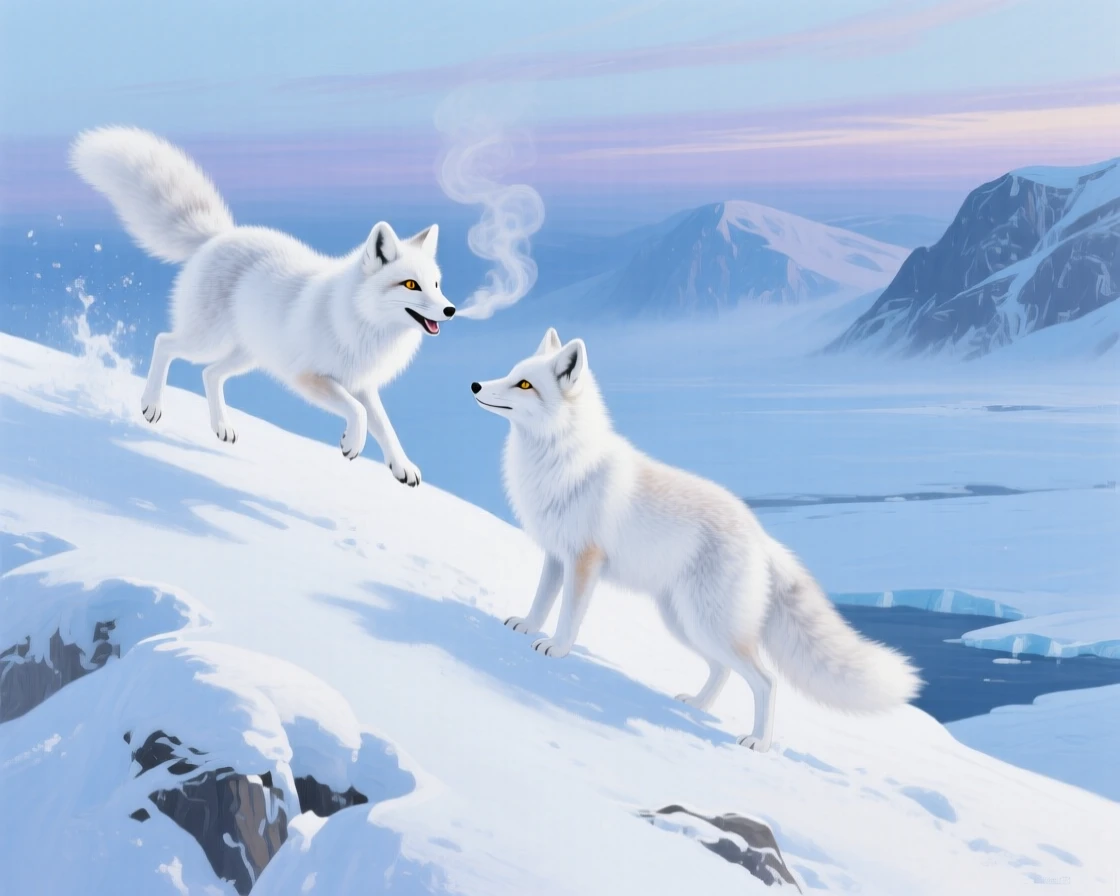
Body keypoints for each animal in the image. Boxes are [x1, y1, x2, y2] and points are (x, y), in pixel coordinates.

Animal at [70, 126, 455, 486]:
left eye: (436, 285)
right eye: (411, 284)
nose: (450, 311)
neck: (360, 320)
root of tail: (219, 236)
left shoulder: (361, 383)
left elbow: (385, 425)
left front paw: (401, 467)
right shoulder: (309, 377)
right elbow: (357, 412)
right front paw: (351, 443)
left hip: (250, 354)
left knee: (210, 373)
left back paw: (222, 426)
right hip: (206, 340)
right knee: (165, 343)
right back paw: (151, 405)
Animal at [471, 329, 922, 751]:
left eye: (524, 385)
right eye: (512, 374)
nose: (475, 385)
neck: (563, 461)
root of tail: (763, 538)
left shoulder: (584, 560)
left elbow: (568, 616)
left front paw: (558, 648)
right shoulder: (556, 554)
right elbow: (542, 601)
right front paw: (527, 627)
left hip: (709, 624)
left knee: (766, 680)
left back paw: (758, 744)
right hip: (686, 622)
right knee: (724, 670)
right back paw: (699, 706)